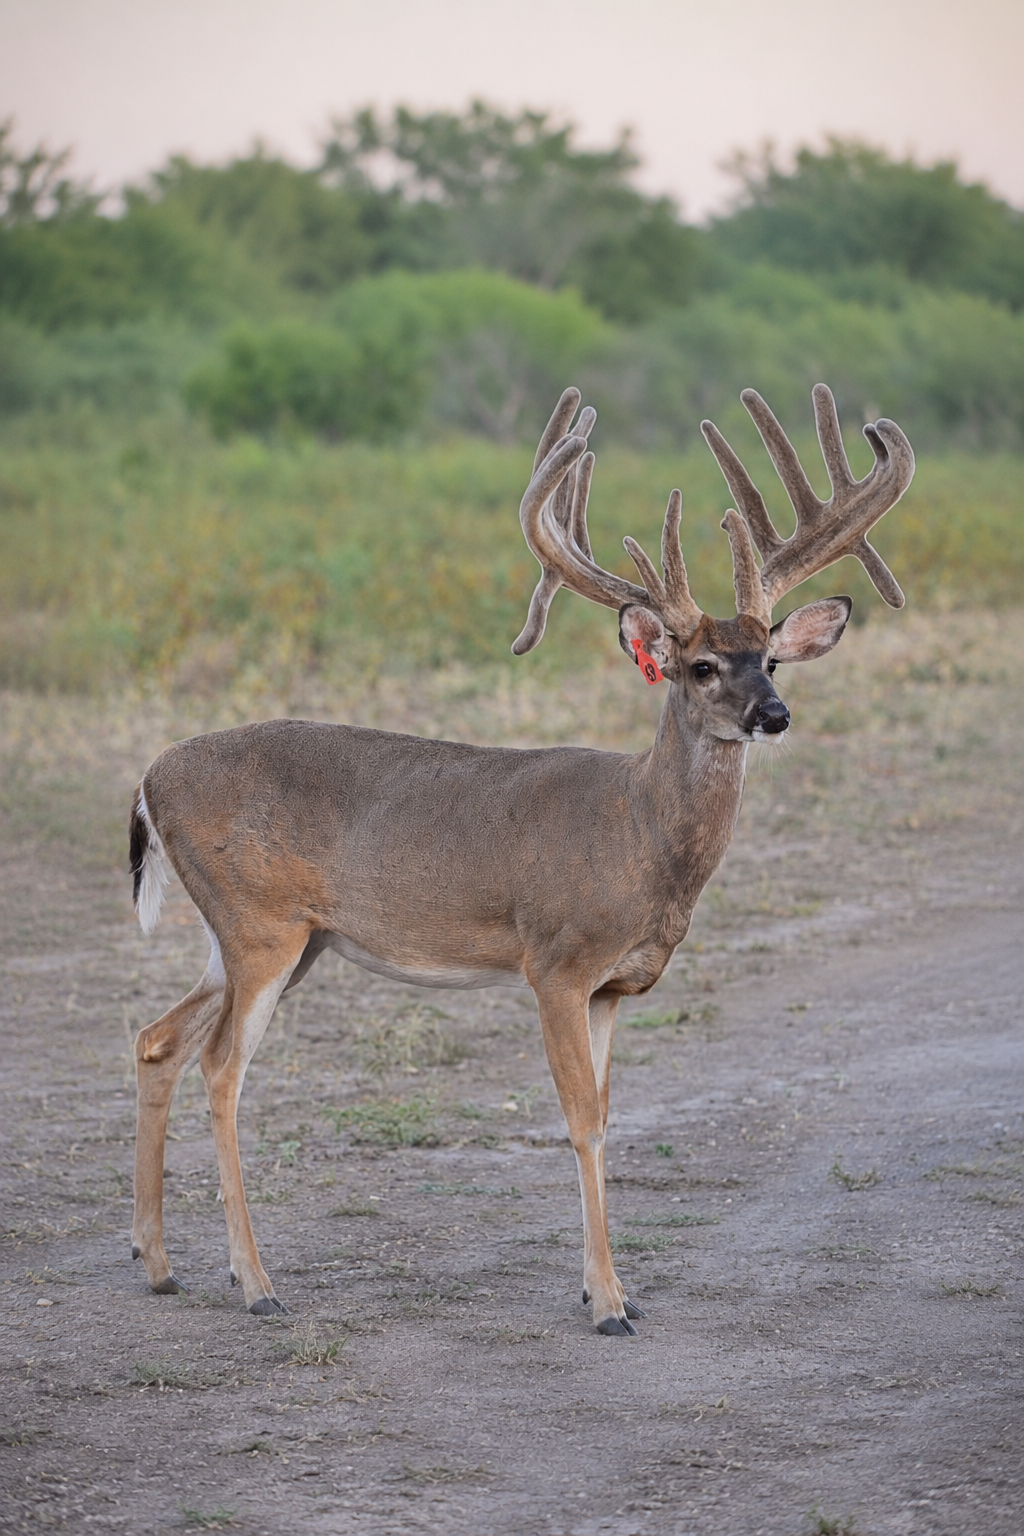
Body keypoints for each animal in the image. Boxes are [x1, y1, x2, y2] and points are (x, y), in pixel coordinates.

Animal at [128, 383, 914, 1334]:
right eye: (698, 666)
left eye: (769, 657)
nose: (774, 713)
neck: (639, 838)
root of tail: (149, 777)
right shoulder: (557, 961)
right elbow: (581, 1121)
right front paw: (608, 1302)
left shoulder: (614, 986)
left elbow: (609, 1114)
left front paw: (609, 1285)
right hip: (258, 924)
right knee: (220, 1068)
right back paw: (256, 1283)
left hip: (268, 938)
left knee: (158, 1039)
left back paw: (159, 1266)